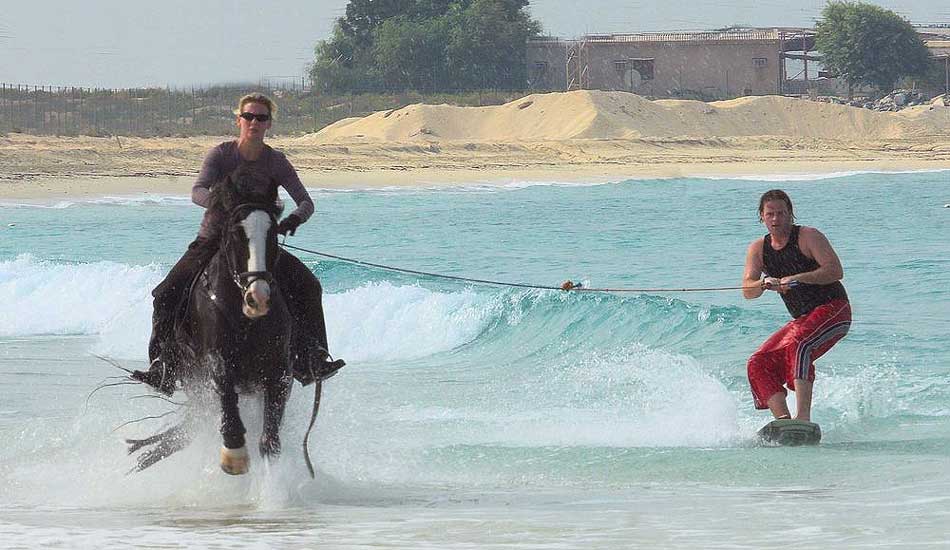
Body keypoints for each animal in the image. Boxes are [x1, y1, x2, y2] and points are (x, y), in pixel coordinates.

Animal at [124, 178, 318, 478]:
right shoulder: (216, 363)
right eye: (236, 234)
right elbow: (227, 401)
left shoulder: (279, 373)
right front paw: (234, 455)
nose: (258, 297)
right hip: (192, 380)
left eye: (274, 233)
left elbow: (270, 440)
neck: (246, 319)